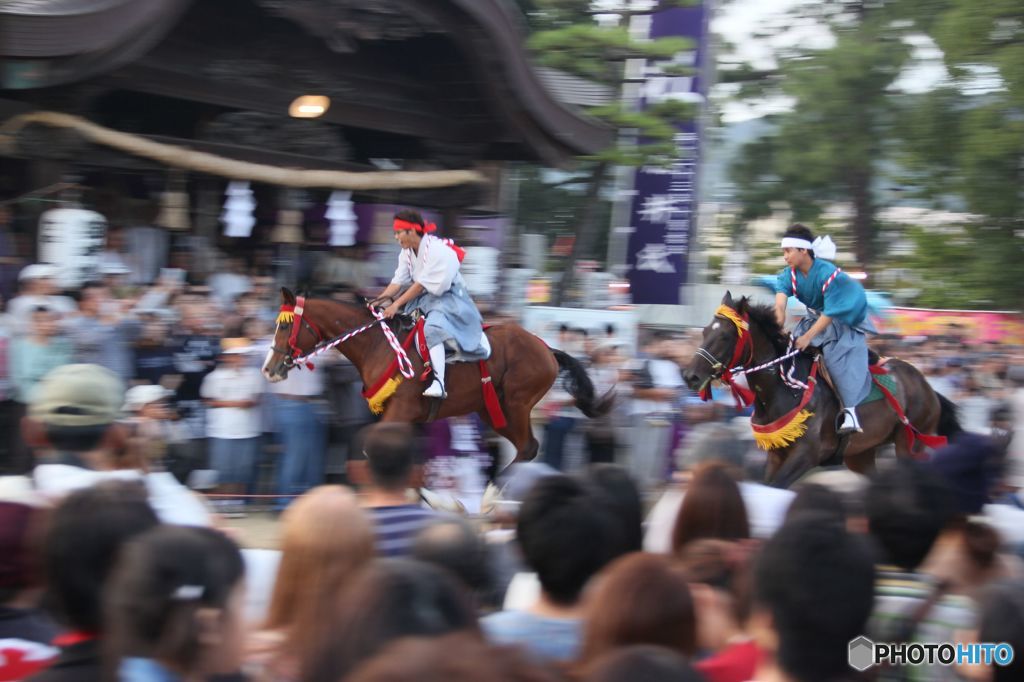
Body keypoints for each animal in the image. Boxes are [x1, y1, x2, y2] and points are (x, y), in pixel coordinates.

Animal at [260, 286, 606, 462]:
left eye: (285, 326)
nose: (269, 368)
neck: (377, 345)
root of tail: (546, 348)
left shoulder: (400, 410)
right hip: (493, 409)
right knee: (524, 447)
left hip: (518, 403)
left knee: (528, 448)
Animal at [679, 288, 958, 485]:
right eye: (704, 332)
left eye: (725, 336)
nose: (690, 376)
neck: (786, 390)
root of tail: (927, 386)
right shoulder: (776, 454)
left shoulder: (806, 455)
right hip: (861, 454)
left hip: (910, 443)